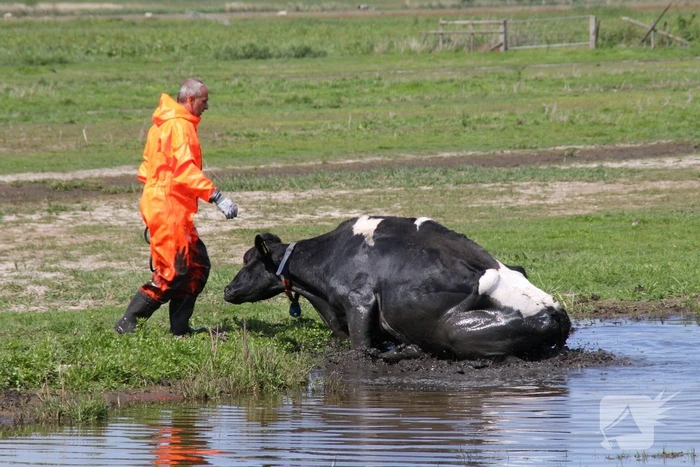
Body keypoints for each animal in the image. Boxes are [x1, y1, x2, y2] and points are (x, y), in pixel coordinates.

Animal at [224, 216, 571, 361]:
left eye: (248, 259)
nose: (227, 289)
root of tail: (553, 308)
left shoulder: (359, 300)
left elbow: (361, 346)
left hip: (455, 327)